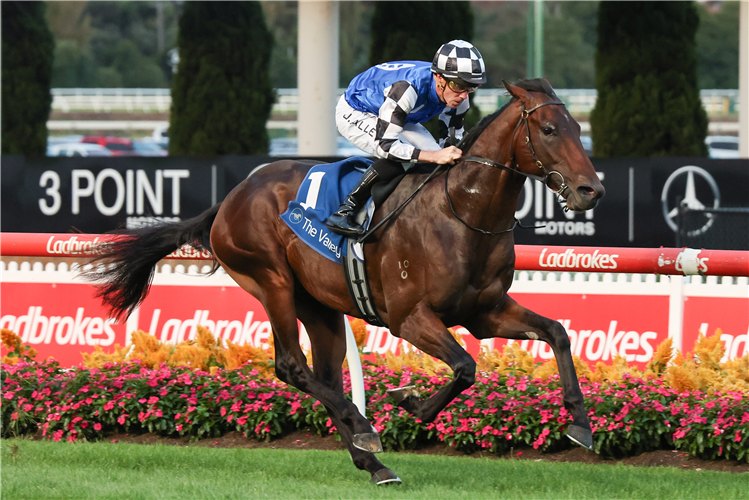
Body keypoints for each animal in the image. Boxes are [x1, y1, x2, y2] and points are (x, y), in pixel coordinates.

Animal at [86, 79, 600, 484]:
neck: (462, 212)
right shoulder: (409, 318)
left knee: (326, 374)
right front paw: (411, 403)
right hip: (271, 282)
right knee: (292, 367)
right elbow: (465, 367)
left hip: (320, 304)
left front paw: (580, 425)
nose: (591, 190)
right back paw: (365, 429)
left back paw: (372, 462)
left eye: (578, 129)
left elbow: (556, 333)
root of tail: (232, 197)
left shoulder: (484, 312)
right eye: (549, 130)